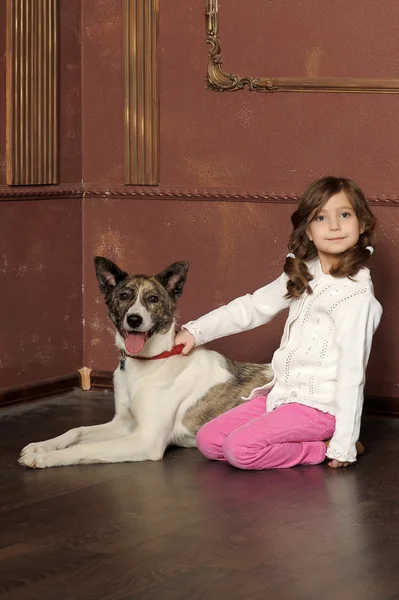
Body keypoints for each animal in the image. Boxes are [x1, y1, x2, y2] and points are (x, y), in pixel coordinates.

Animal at [18, 258, 276, 468]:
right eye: (124, 296)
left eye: (153, 299)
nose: (134, 319)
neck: (148, 363)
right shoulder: (123, 424)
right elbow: (77, 431)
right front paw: (42, 446)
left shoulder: (146, 439)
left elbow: (85, 447)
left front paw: (46, 457)